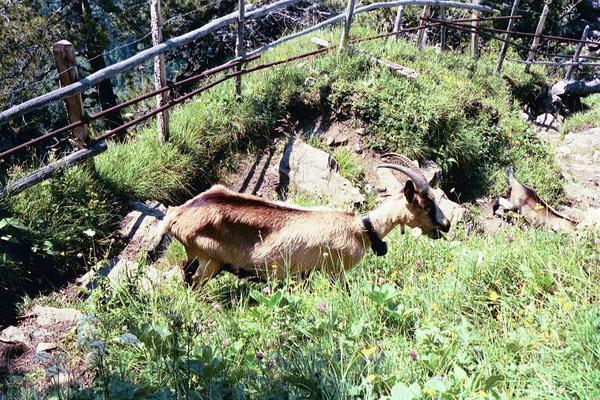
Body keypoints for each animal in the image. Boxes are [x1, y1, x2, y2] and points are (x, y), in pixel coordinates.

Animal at [162, 161, 452, 286]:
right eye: (427, 205)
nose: (447, 224)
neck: (360, 229)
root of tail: (176, 215)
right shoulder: (334, 271)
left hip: (197, 257)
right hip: (210, 261)